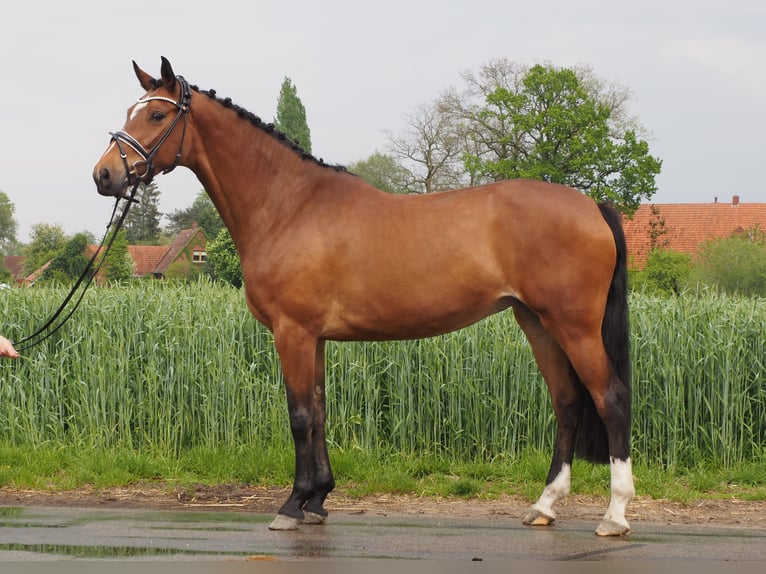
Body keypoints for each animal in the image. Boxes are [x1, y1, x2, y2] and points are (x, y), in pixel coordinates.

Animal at [91, 58, 636, 536]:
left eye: (156, 115)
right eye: (130, 111)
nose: (104, 175)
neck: (289, 206)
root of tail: (591, 206)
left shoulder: (293, 331)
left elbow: (299, 416)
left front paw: (291, 505)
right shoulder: (314, 338)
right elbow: (319, 410)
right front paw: (317, 501)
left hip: (572, 325)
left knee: (610, 398)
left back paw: (614, 515)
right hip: (536, 322)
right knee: (567, 402)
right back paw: (544, 506)